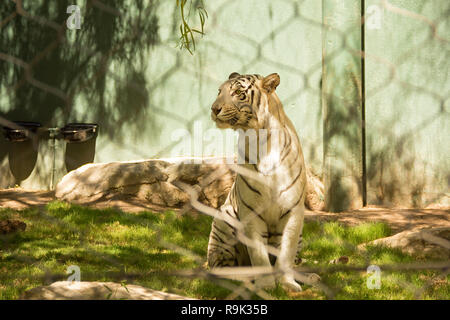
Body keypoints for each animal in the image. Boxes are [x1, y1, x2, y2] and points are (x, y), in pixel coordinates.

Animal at [207, 71, 306, 292]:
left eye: (237, 92)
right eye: (219, 91)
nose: (214, 109)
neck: (263, 140)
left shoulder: (294, 211)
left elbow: (286, 252)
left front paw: (287, 283)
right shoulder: (251, 211)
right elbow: (259, 255)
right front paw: (266, 285)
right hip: (224, 221)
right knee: (222, 268)